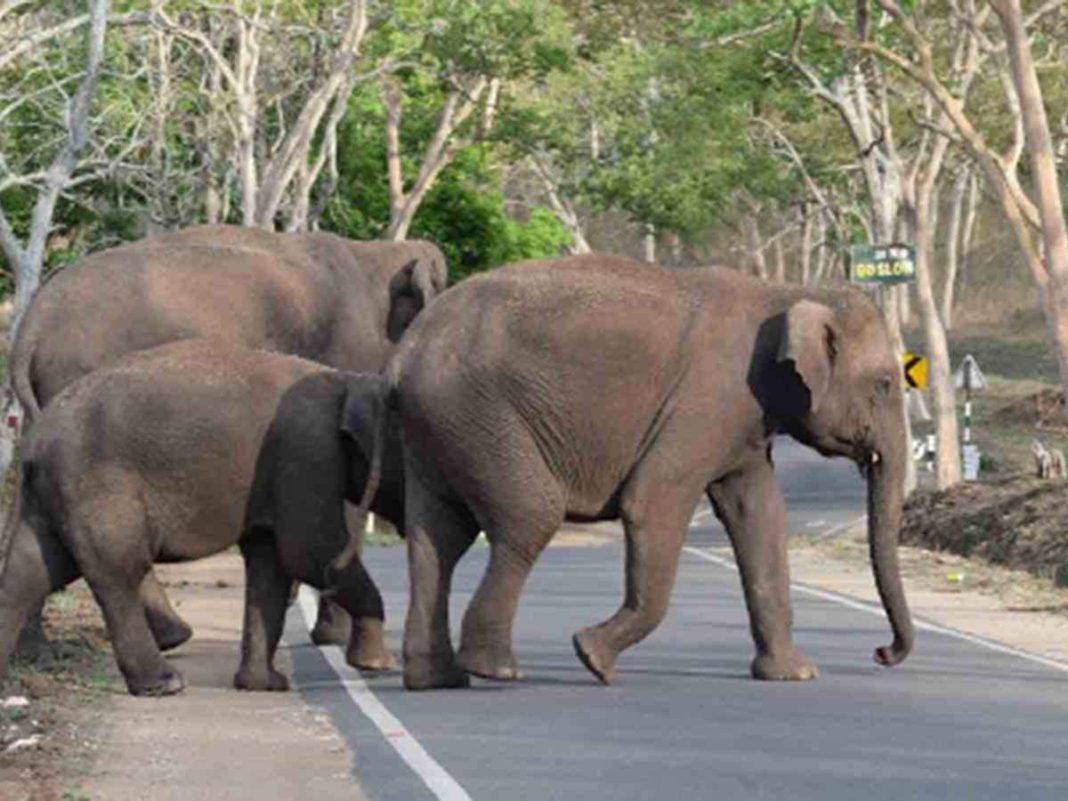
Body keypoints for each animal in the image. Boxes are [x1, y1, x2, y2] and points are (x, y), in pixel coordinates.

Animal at [0, 340, 404, 696]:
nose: (386, 664)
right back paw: (164, 684)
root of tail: (34, 440)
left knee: (34, 569)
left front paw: (264, 685)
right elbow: (309, 551)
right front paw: (376, 663)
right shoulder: (307, 451)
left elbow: (270, 561)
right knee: (119, 569)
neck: (351, 380)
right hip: (96, 486)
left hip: (54, 492)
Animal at [332, 253, 914, 690]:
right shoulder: (710, 400)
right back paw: (494, 670)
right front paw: (592, 657)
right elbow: (653, 502)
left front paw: (794, 675)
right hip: (476, 416)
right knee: (528, 515)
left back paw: (438, 679)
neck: (788, 292)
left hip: (438, 426)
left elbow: (760, 516)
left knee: (438, 536)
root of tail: (403, 355)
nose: (883, 653)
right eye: (886, 384)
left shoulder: (743, 421)